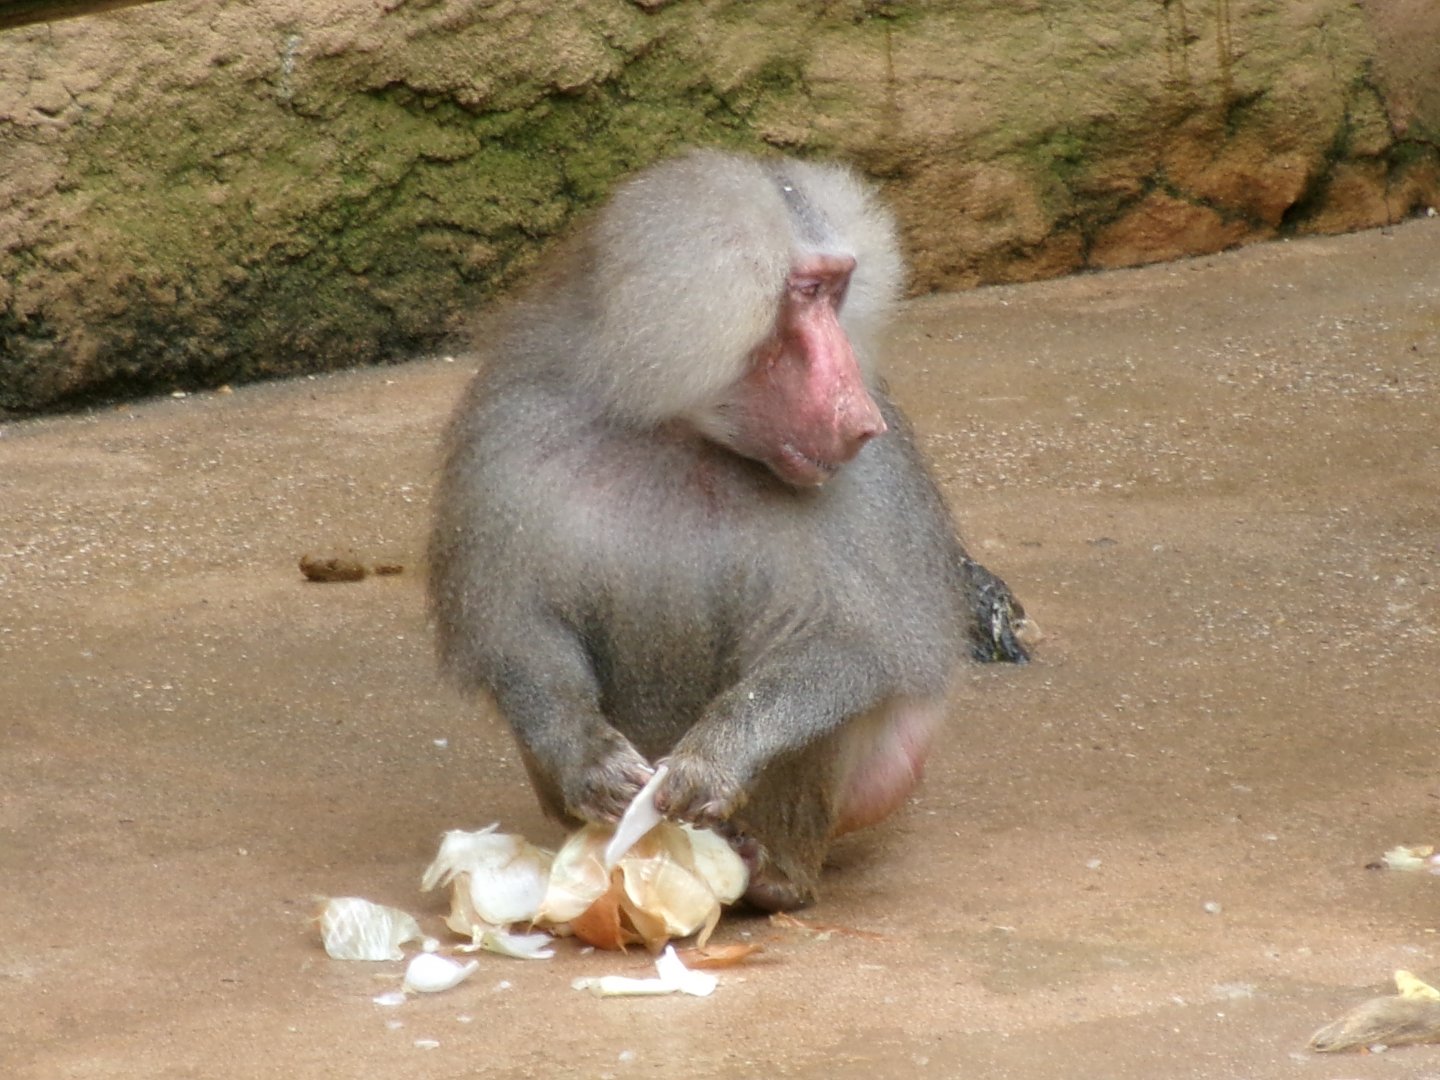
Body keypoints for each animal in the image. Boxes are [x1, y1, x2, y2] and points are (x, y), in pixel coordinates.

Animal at [427, 149, 1029, 911]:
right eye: (807, 291)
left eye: (840, 291)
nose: (863, 420)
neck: (681, 432)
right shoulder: (509, 433)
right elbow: (518, 634)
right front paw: (590, 761)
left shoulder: (875, 483)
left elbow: (857, 644)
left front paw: (711, 761)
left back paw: (773, 877)